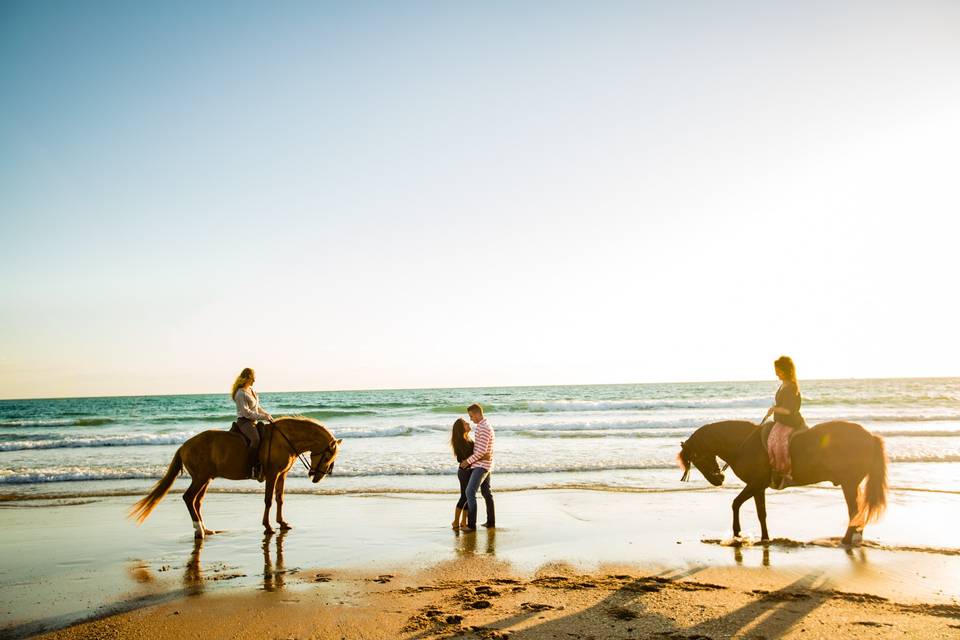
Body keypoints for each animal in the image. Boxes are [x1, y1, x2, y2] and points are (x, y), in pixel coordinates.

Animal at [129, 418, 342, 536]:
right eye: (328, 456)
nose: (317, 477)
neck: (284, 440)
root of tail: (184, 446)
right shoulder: (272, 474)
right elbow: (268, 500)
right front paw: (268, 527)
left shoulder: (282, 475)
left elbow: (279, 498)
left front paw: (282, 523)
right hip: (200, 477)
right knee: (188, 498)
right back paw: (199, 530)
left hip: (206, 478)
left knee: (197, 501)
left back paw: (206, 529)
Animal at [680, 420, 888, 544]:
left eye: (696, 458)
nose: (718, 479)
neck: (744, 444)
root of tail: (870, 437)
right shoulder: (758, 487)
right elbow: (755, 511)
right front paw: (757, 537)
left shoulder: (756, 484)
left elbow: (741, 505)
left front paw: (743, 534)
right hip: (851, 484)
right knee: (857, 510)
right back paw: (855, 537)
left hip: (849, 484)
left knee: (854, 510)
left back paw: (846, 540)